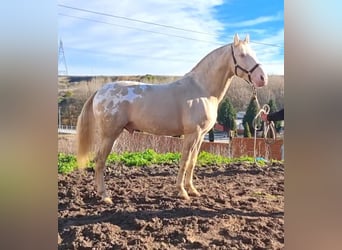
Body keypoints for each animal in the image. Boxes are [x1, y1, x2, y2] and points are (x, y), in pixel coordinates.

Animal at [77, 34, 268, 204]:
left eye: (254, 53)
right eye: (242, 55)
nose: (262, 78)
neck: (201, 89)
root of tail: (101, 90)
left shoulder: (200, 136)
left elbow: (192, 162)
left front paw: (193, 190)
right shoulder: (191, 134)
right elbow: (184, 161)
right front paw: (182, 192)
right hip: (109, 135)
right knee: (100, 161)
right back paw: (105, 196)